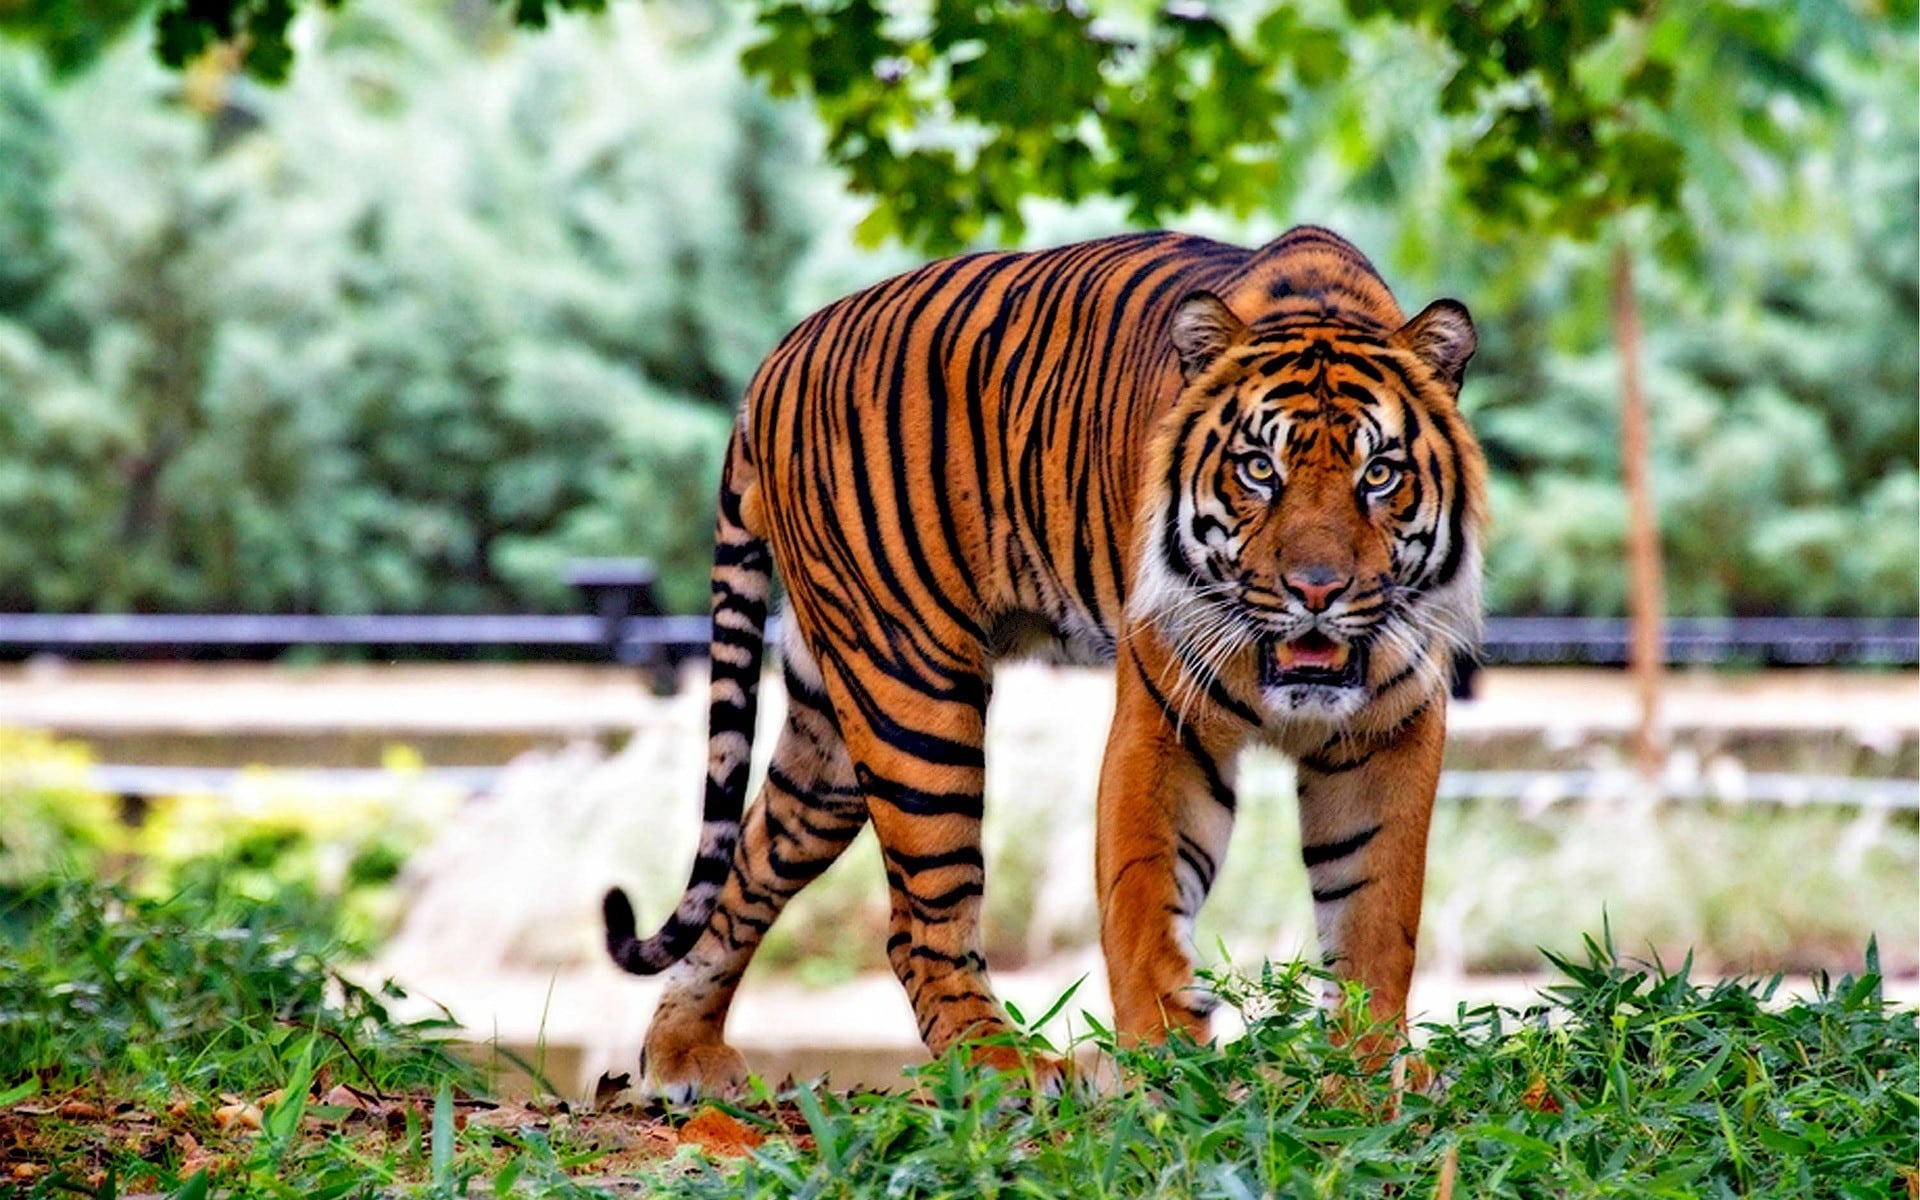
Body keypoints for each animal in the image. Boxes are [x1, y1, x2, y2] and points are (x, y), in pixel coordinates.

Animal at [599, 222, 1482, 1098]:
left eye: (1379, 474)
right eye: (1259, 469)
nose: (1316, 590)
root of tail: (777, 356)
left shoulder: (1391, 731)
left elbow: (1376, 914)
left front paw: (1364, 1071)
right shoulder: (1164, 723)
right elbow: (1146, 900)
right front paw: (1167, 1071)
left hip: (833, 734)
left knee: (750, 861)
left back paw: (681, 1053)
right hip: (912, 693)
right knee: (918, 923)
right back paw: (1006, 1065)